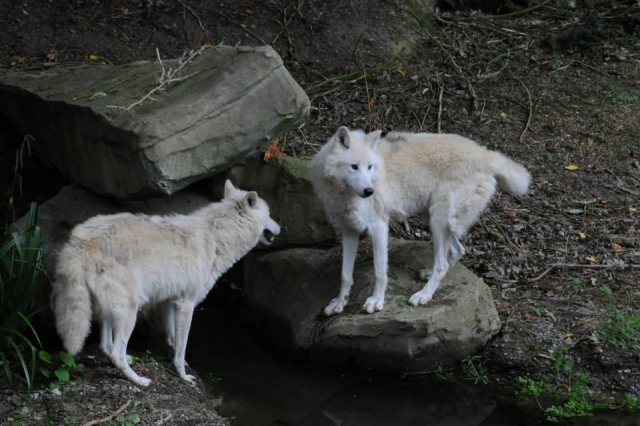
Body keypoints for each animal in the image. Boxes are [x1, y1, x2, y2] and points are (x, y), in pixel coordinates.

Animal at [52, 180, 281, 387]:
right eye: (269, 214)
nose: (280, 228)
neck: (216, 237)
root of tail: (80, 243)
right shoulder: (186, 304)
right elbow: (182, 345)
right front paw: (183, 375)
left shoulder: (169, 301)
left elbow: (172, 338)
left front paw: (178, 360)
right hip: (130, 311)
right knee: (116, 352)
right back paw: (139, 381)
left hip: (112, 309)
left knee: (106, 346)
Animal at [309, 127, 530, 316]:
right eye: (354, 167)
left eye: (369, 167)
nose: (369, 191)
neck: (343, 194)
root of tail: (484, 153)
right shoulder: (349, 231)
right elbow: (345, 275)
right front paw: (339, 303)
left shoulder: (378, 227)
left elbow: (380, 272)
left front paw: (376, 301)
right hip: (433, 218)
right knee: (459, 250)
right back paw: (428, 274)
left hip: (439, 220)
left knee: (443, 264)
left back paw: (424, 295)